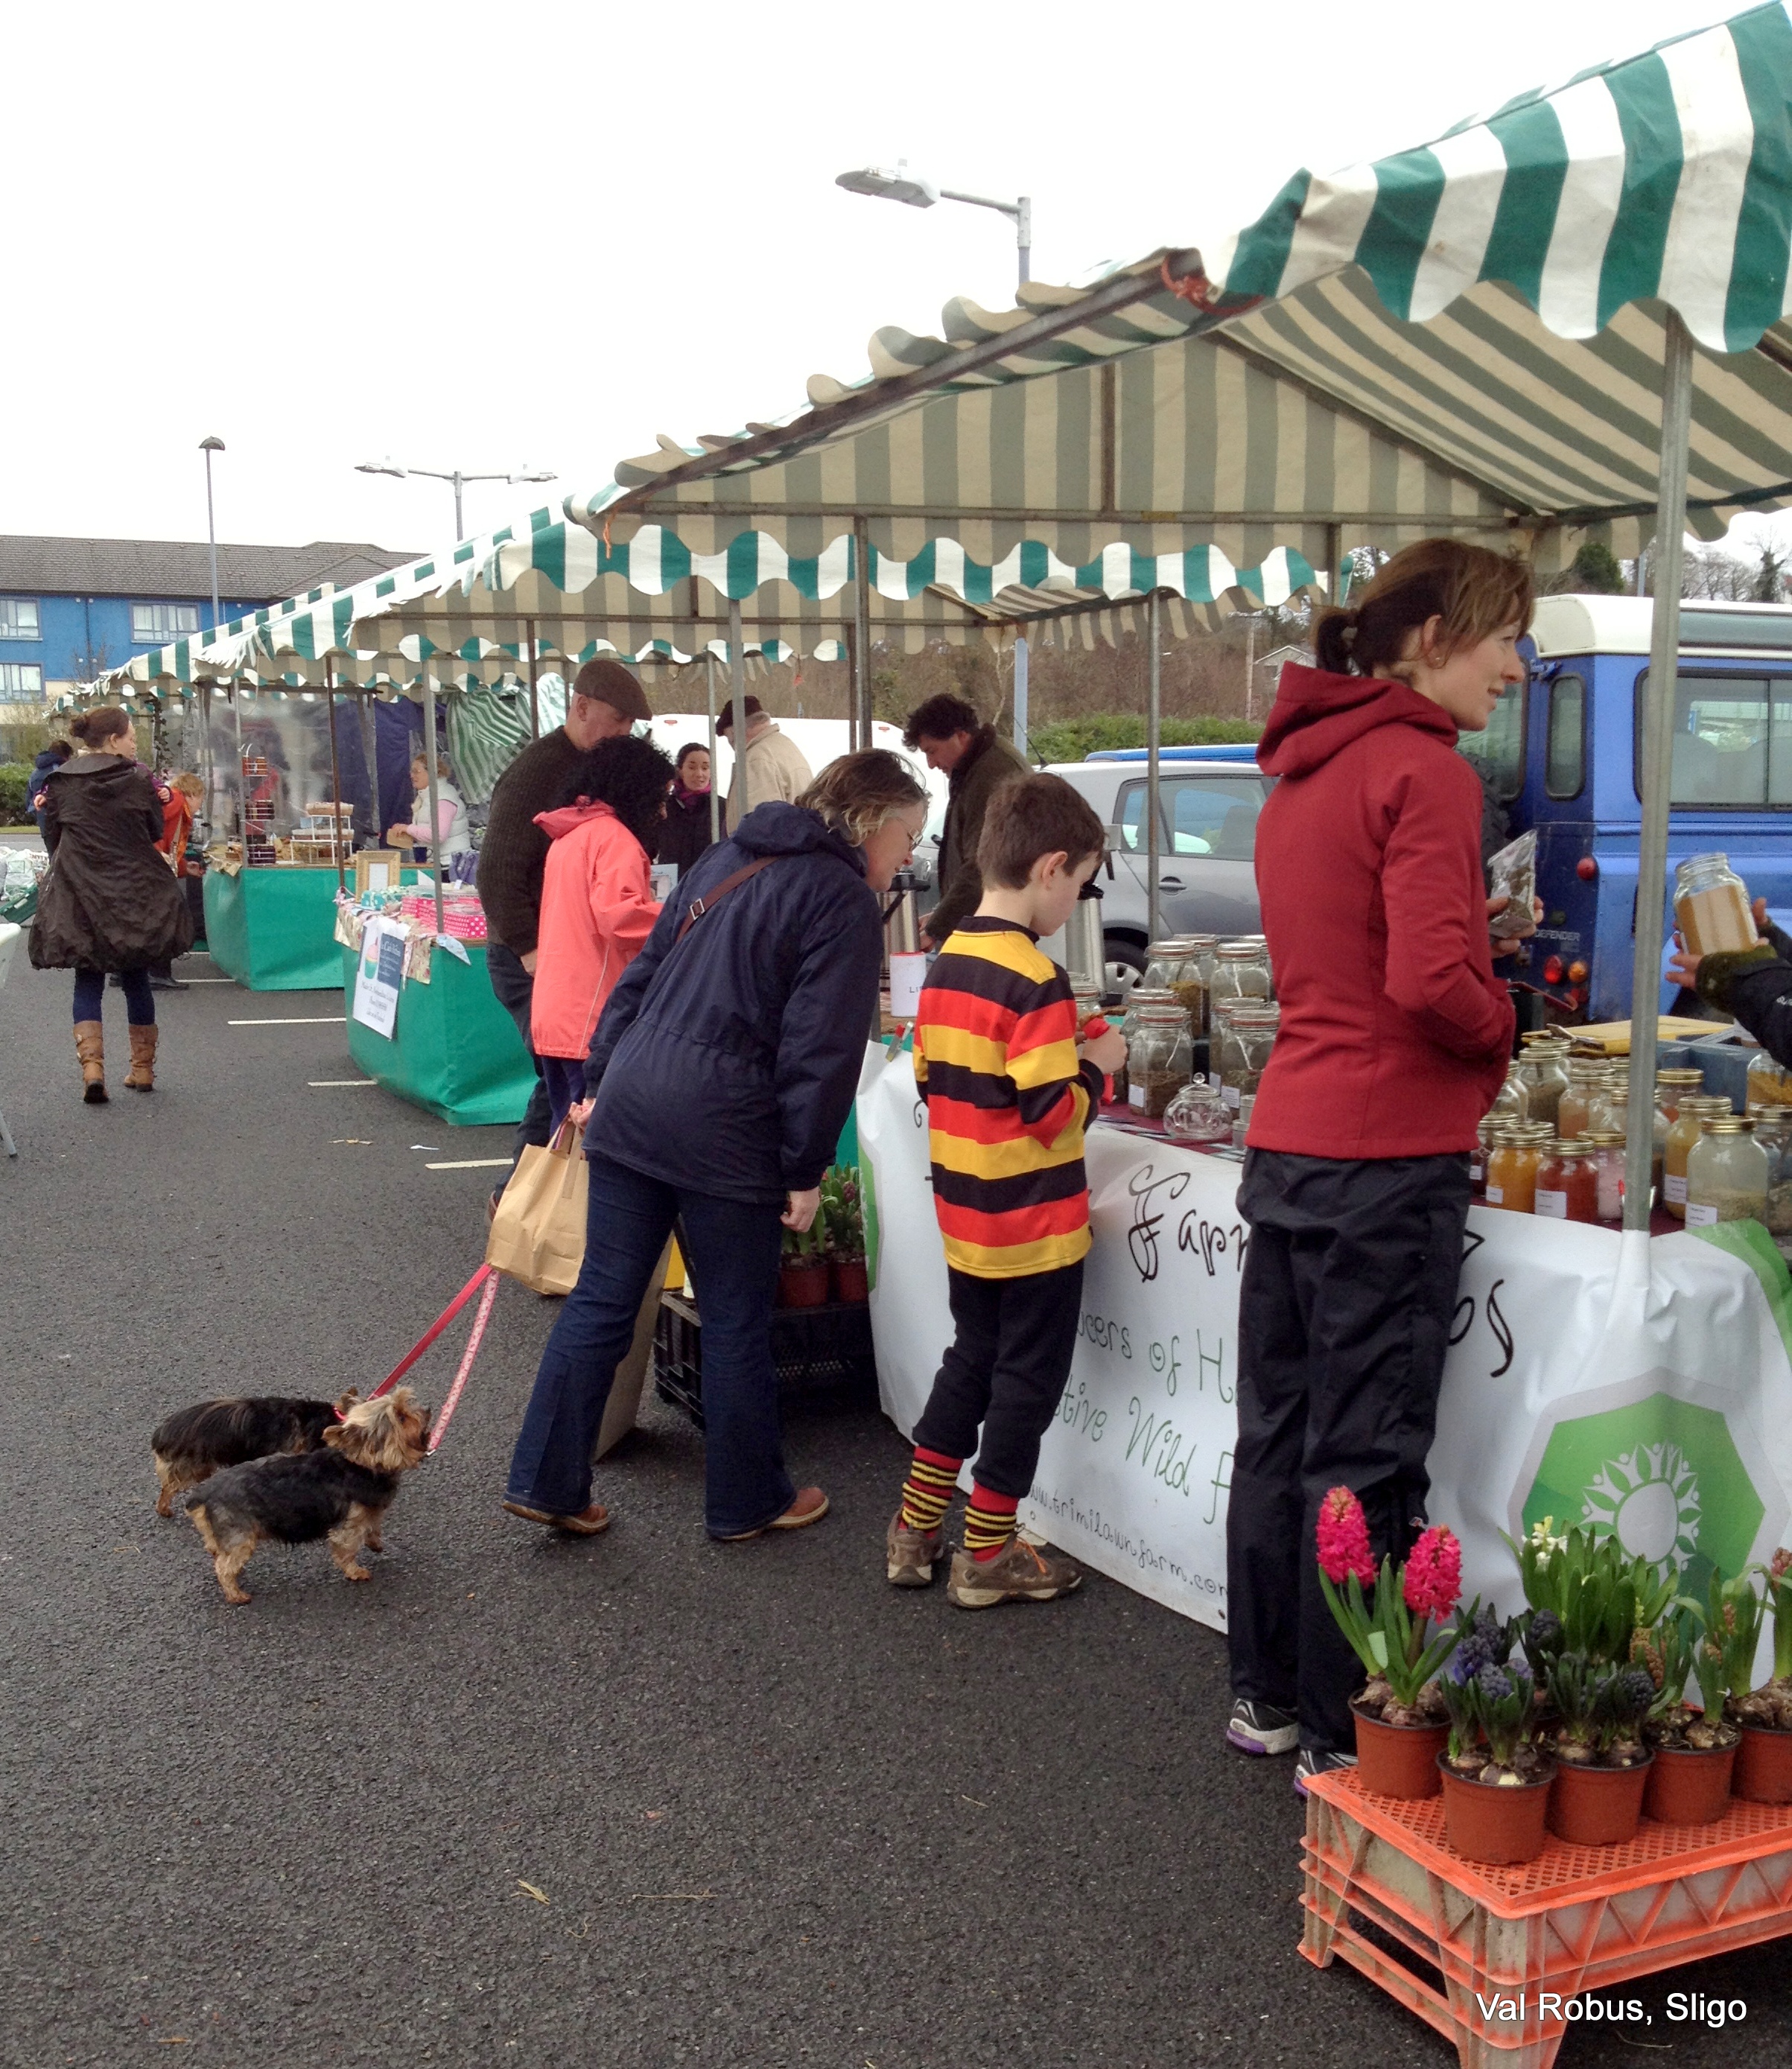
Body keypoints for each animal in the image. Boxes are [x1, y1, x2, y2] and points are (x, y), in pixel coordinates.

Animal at [182, 1389, 432, 1605]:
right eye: (401, 1417)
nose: (427, 1409)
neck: (361, 1466)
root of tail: (202, 1496)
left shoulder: (370, 1510)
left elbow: (373, 1526)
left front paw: (376, 1543)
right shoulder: (349, 1522)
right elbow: (346, 1549)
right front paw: (356, 1571)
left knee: (216, 1552)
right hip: (240, 1536)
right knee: (223, 1567)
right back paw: (236, 1595)